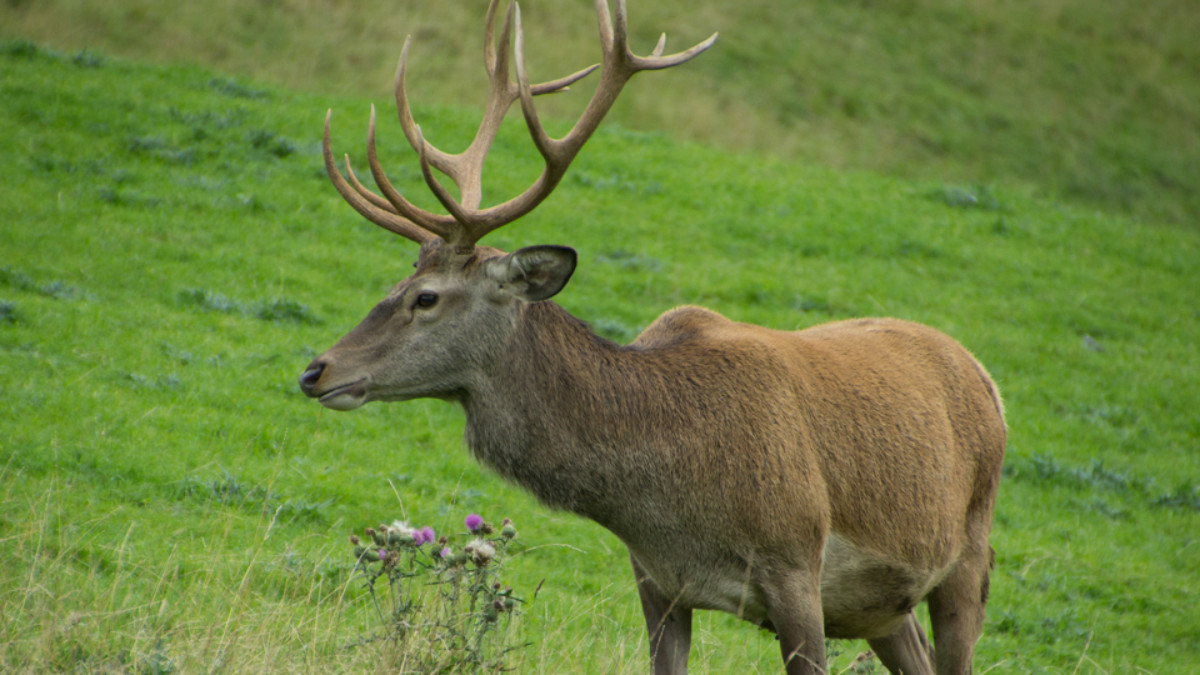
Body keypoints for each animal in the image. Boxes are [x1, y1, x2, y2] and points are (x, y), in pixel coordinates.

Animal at [297, 1, 1007, 673]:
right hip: (880, 606)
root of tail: (984, 376)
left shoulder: (795, 561)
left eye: (426, 298)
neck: (665, 498)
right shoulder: (655, 580)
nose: (316, 371)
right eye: (400, 281)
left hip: (971, 551)